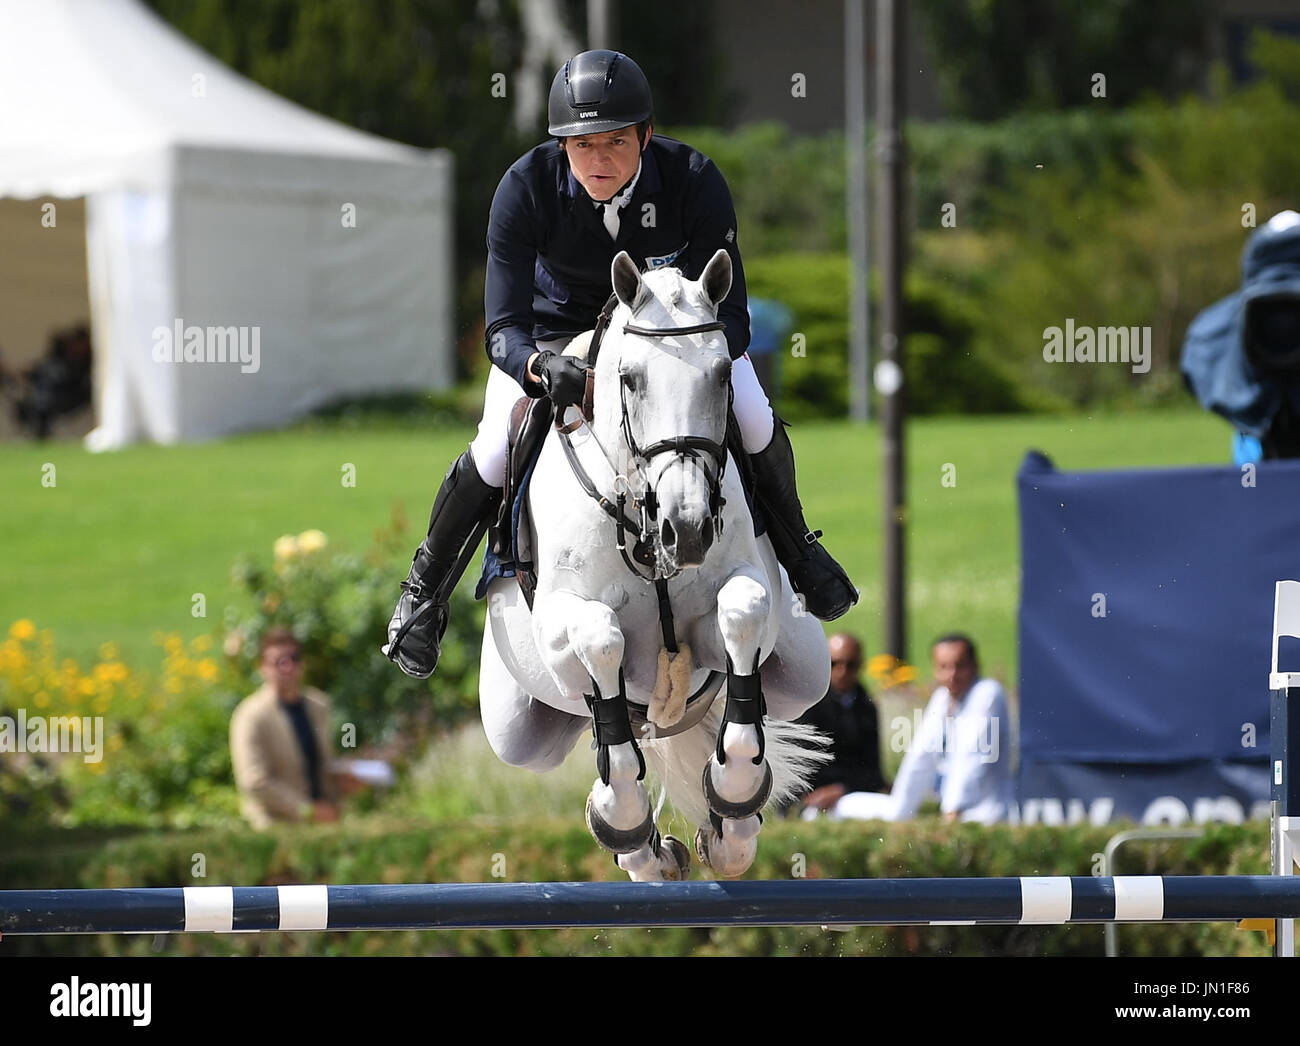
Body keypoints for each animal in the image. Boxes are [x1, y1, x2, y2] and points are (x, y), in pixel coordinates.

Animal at [478, 249, 832, 878]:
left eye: (722, 375)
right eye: (630, 378)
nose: (686, 529)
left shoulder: (737, 602)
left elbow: (742, 617)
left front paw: (735, 794)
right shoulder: (564, 625)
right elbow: (602, 647)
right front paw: (619, 813)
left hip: (805, 672)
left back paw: (728, 834)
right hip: (516, 728)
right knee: (599, 737)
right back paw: (641, 848)